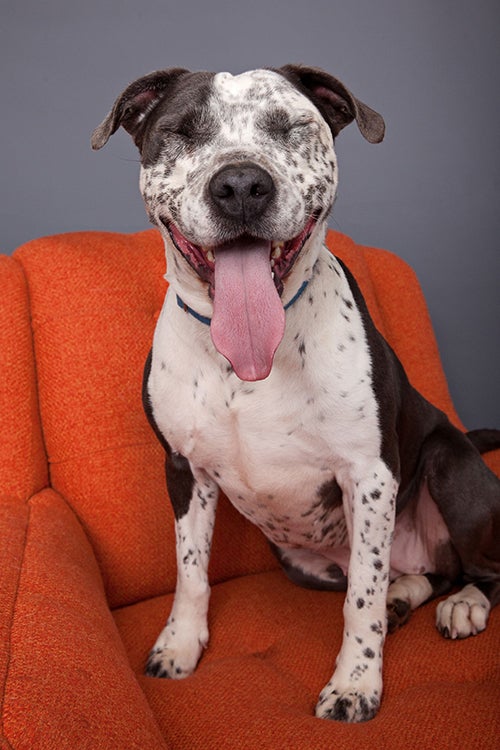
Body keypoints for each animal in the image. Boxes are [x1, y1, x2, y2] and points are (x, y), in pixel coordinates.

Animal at [91, 64, 500, 724]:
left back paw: (463, 603)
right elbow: (190, 571)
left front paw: (356, 683)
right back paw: (406, 595)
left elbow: (361, 593)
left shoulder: (369, 476)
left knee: (478, 568)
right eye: (182, 130)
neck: (245, 363)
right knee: (422, 574)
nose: (240, 185)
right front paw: (180, 645)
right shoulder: (183, 470)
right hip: (302, 562)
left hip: (449, 464)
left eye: (291, 127)